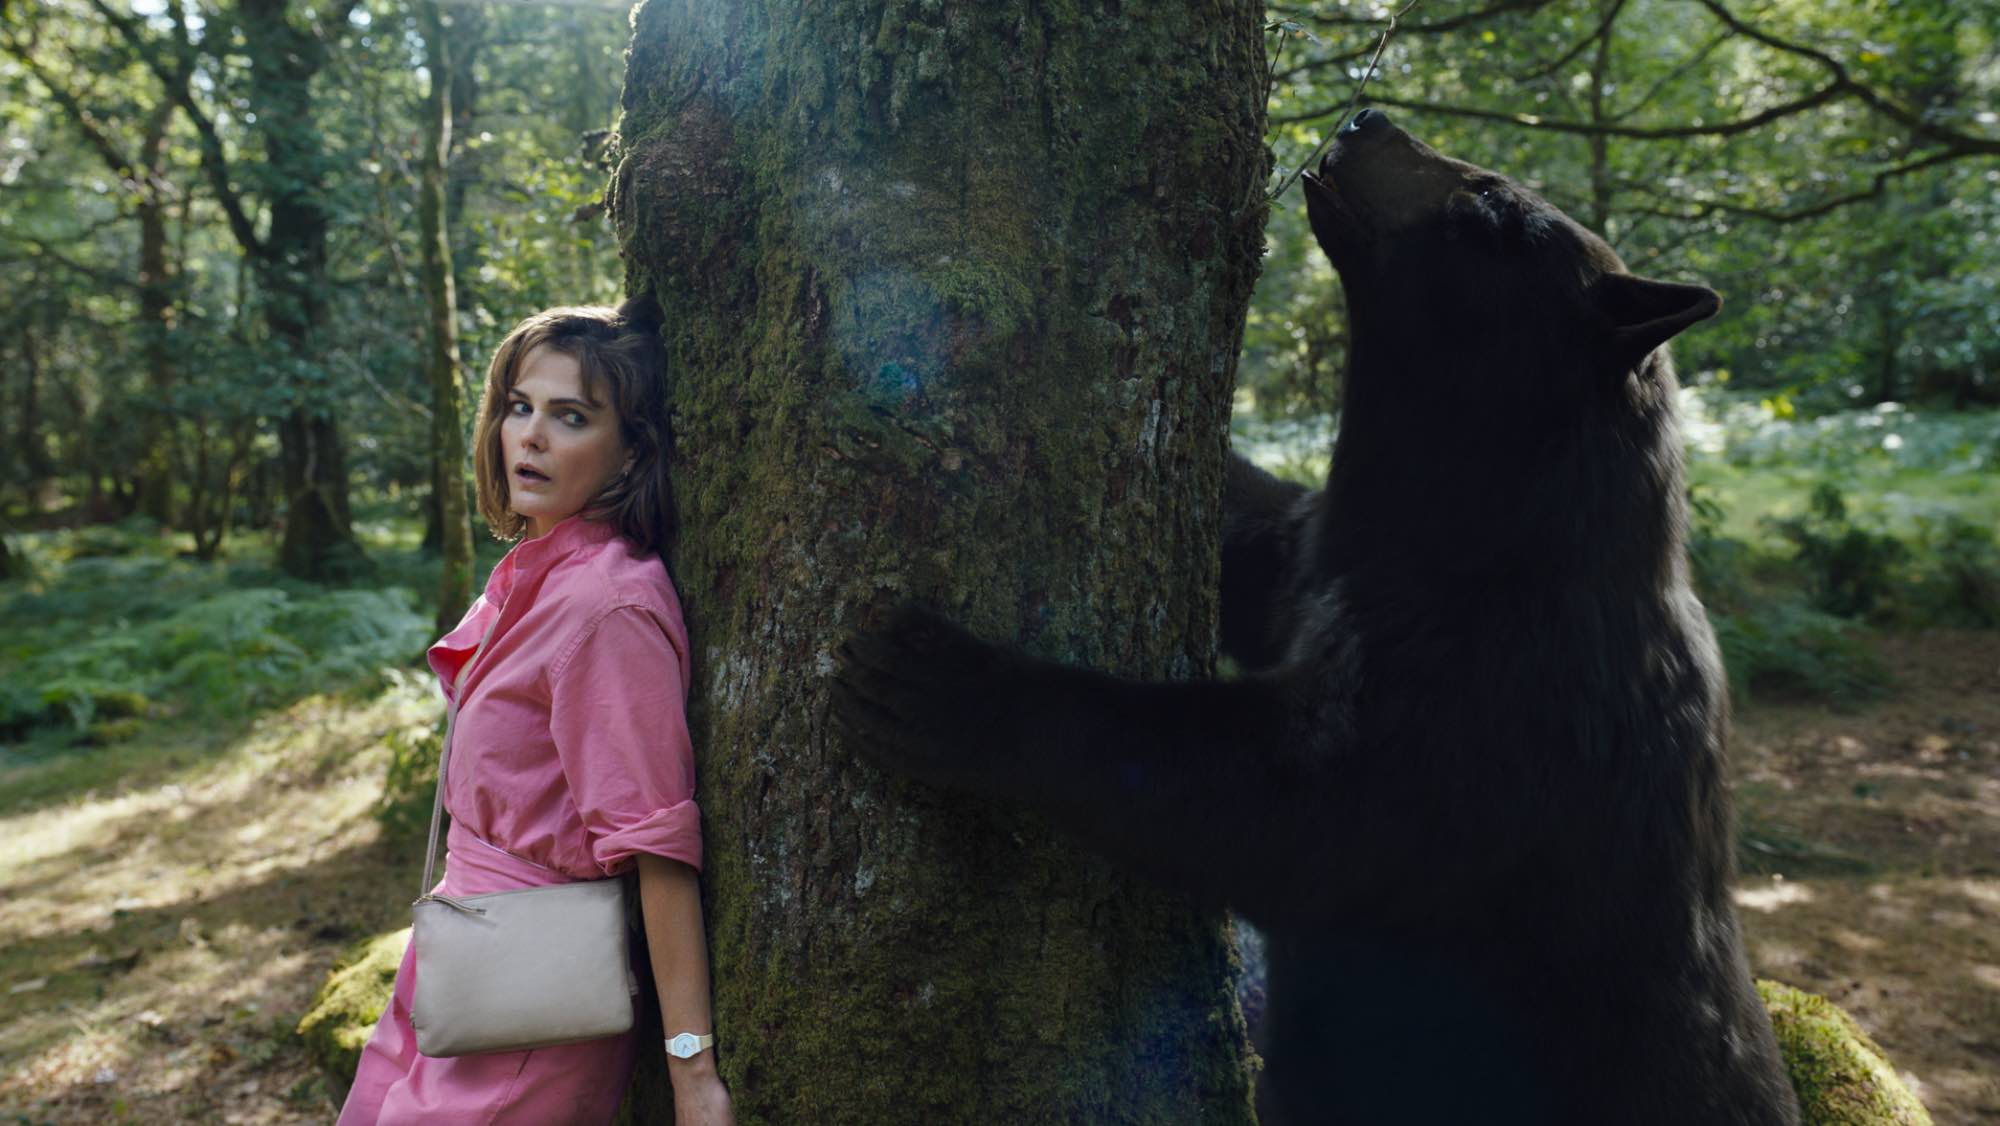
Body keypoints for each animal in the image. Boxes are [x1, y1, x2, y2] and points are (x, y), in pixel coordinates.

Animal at [828, 108, 1800, 1126]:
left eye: (1489, 207)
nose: (1370, 118)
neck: (1479, 536)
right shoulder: (1324, 559)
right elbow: (1255, 540)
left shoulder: (1499, 710)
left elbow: (1282, 806)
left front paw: (941, 685)